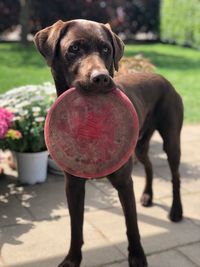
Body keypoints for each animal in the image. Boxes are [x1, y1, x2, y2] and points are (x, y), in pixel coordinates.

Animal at [33, 19, 184, 267]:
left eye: (106, 49)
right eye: (74, 48)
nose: (101, 78)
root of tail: (164, 79)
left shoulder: (124, 182)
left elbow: (132, 226)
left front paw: (137, 257)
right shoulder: (73, 184)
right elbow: (76, 227)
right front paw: (72, 259)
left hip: (171, 140)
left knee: (175, 176)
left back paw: (176, 210)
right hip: (139, 145)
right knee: (150, 165)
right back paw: (148, 196)